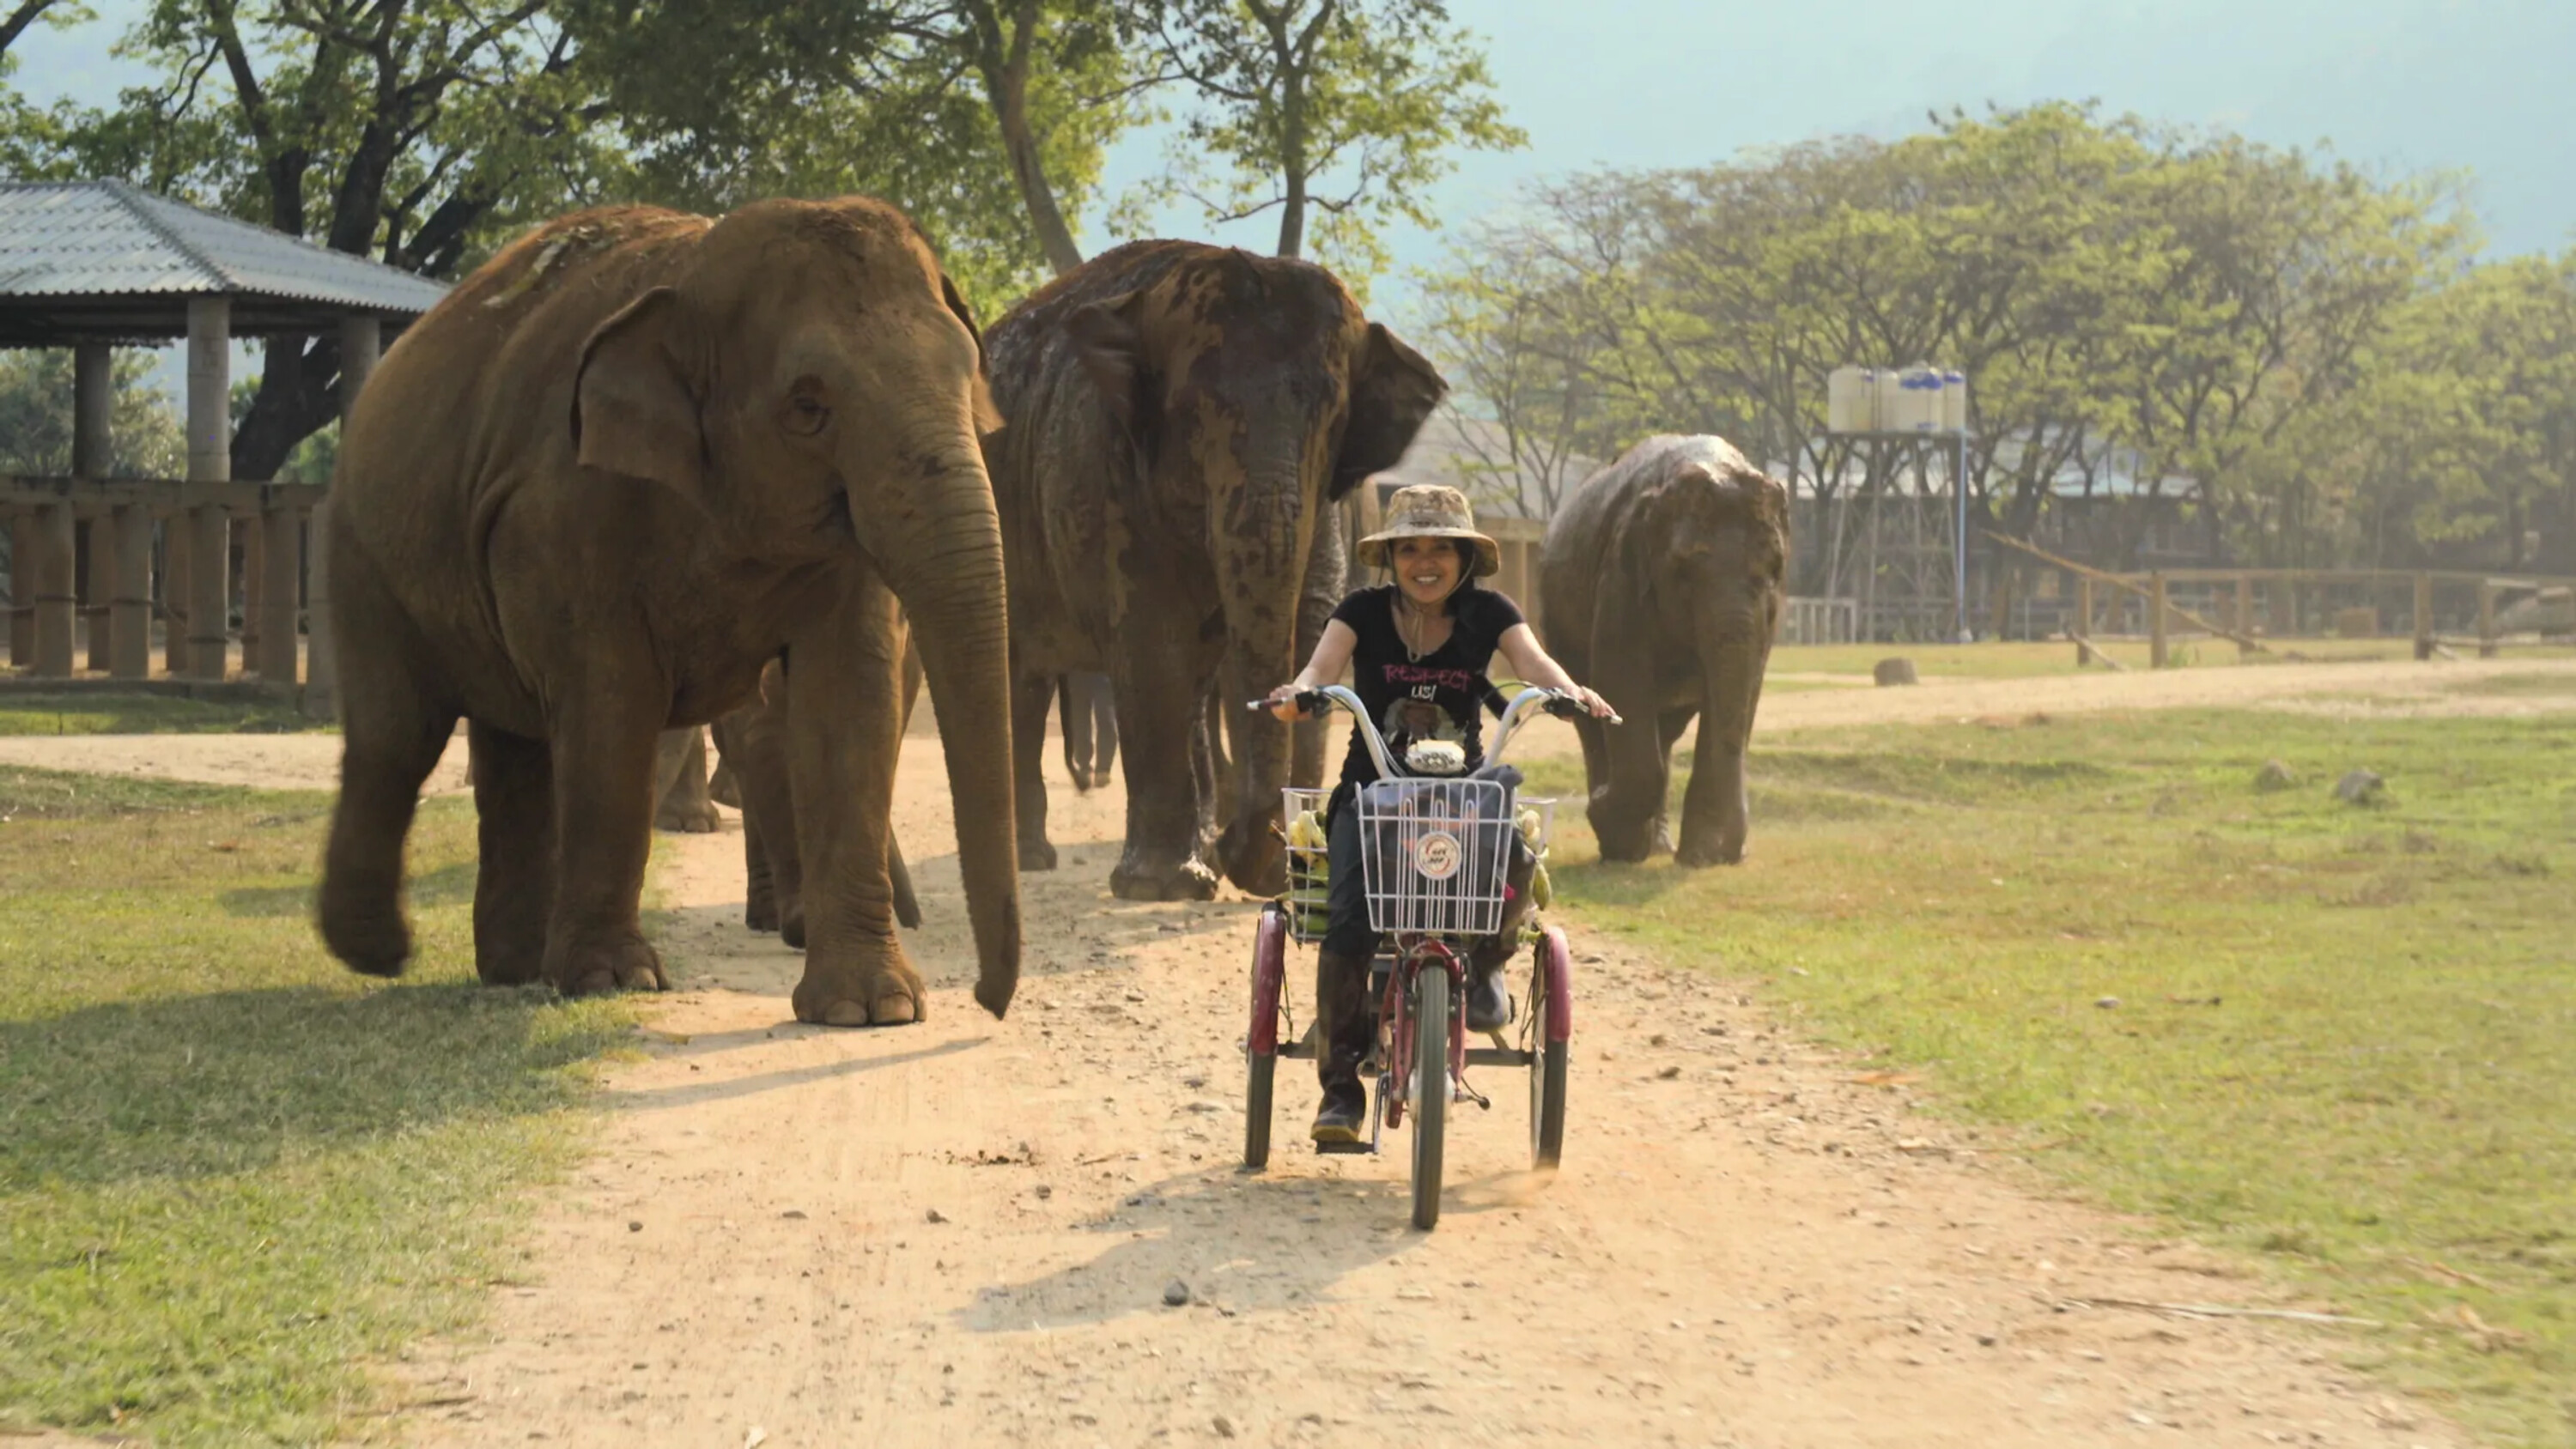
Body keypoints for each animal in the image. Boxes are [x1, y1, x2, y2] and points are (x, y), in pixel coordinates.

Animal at [1535, 437, 1783, 870]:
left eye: (1774, 567)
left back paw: (1659, 846)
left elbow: (1746, 686)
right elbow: (1620, 678)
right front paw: (1614, 830)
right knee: (1590, 720)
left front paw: (1702, 857)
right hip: (1561, 632)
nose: (1736, 852)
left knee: (1666, 731)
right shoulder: (1620, 575)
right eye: (1684, 570)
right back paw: (1622, 843)